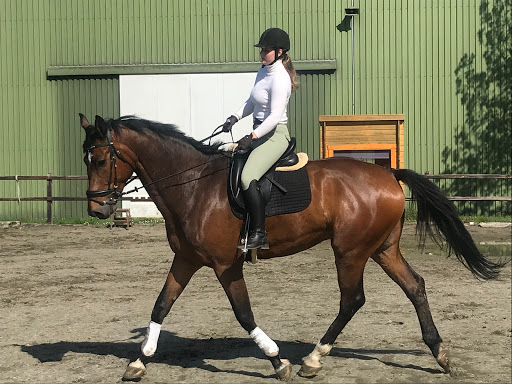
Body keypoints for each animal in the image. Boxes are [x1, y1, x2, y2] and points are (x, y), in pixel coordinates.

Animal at [80, 112, 504, 380]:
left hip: (350, 251)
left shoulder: (225, 264)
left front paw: (277, 362)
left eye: (99, 159)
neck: (194, 188)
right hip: (382, 249)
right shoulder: (186, 259)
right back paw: (440, 352)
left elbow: (244, 314)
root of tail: (388, 174)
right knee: (415, 286)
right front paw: (139, 363)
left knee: (352, 300)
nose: (97, 209)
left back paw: (313, 359)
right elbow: (161, 306)